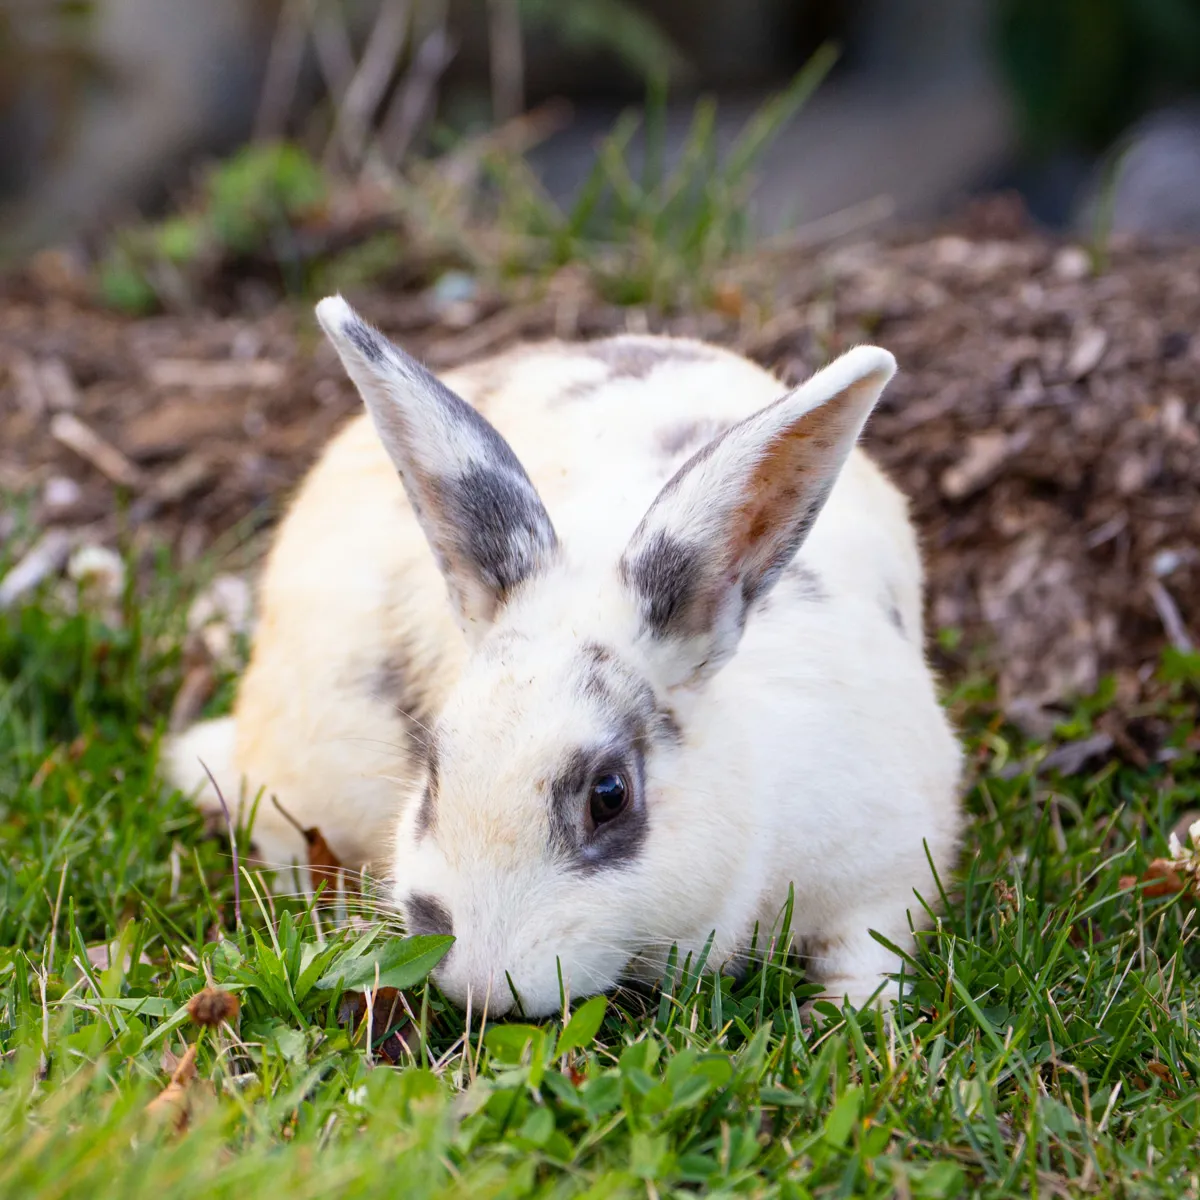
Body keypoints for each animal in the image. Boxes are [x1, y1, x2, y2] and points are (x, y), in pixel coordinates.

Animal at [166, 294, 964, 1018]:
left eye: (609, 796)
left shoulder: (887, 864)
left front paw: (848, 1018)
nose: (483, 986)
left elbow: (867, 952)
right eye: (432, 773)